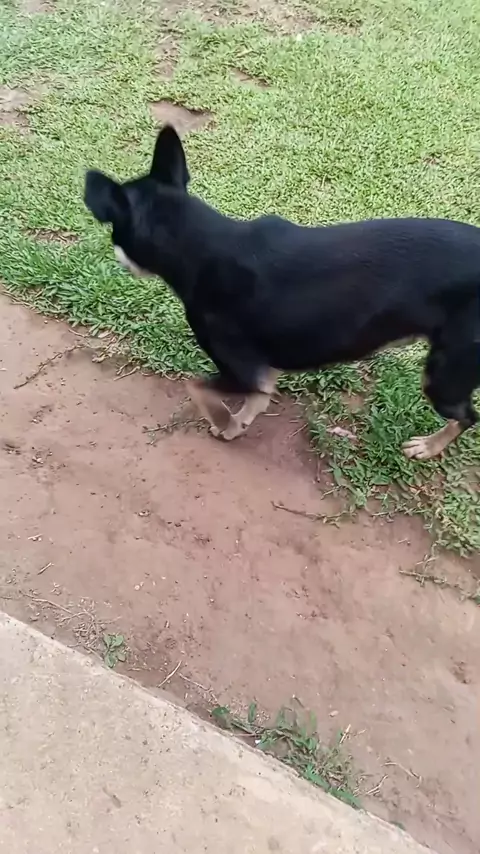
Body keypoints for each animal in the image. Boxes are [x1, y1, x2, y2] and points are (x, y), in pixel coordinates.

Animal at [84, 125, 480, 460]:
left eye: (114, 232)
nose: (115, 255)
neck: (200, 242)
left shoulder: (242, 369)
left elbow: (194, 385)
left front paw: (224, 422)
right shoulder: (262, 373)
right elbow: (256, 399)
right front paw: (238, 423)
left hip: (443, 377)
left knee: (466, 417)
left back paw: (428, 447)